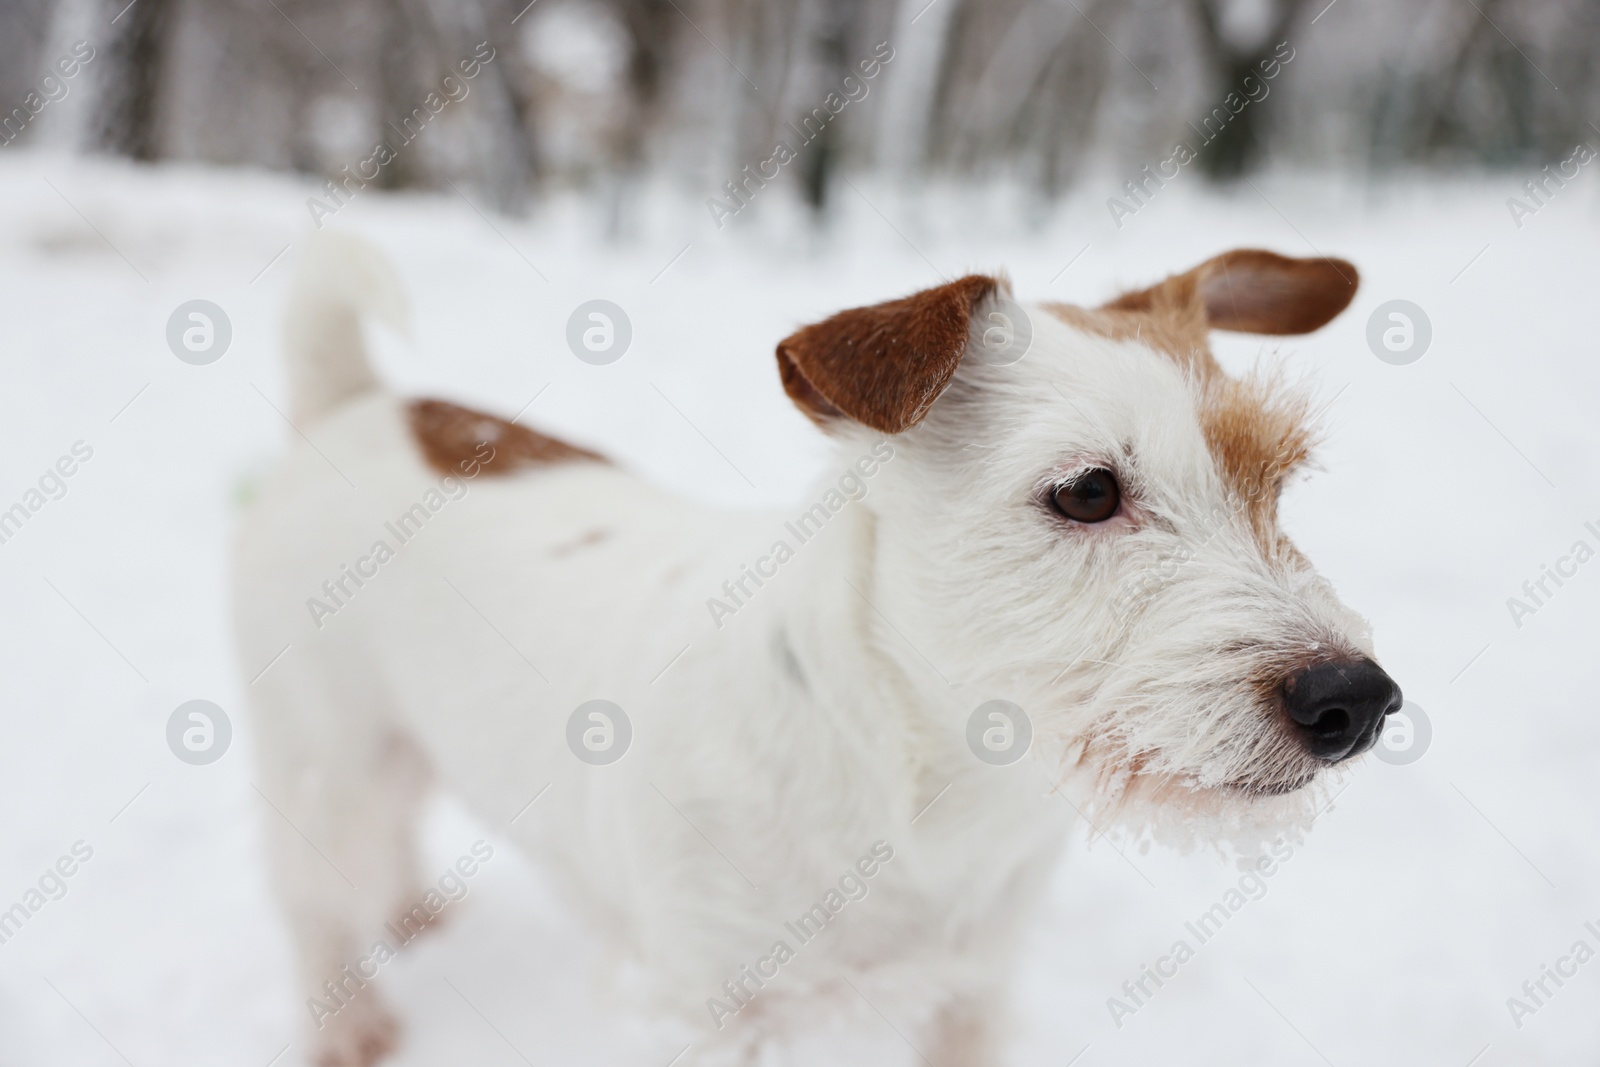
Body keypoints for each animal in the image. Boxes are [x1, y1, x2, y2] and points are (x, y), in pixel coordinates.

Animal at [233, 235, 1401, 1067]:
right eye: (1086, 491)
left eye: (1276, 481)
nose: (1354, 699)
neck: (931, 784)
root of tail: (359, 403)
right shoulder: (703, 1016)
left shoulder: (973, 989)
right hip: (317, 759)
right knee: (310, 905)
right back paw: (346, 1025)